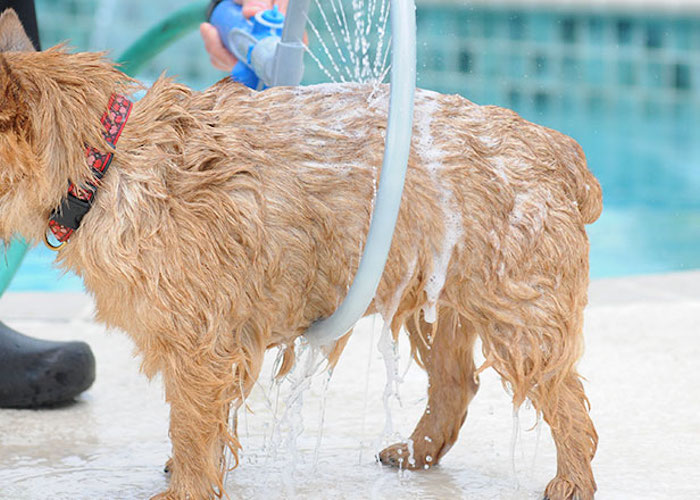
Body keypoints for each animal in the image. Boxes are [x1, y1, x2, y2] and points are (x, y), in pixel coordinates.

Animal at [0, 8, 600, 500]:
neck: (105, 162)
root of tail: (557, 147)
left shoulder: (200, 343)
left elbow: (191, 428)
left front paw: (185, 489)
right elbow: (203, 428)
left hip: (519, 311)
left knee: (567, 402)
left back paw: (571, 481)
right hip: (437, 296)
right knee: (457, 383)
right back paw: (417, 453)